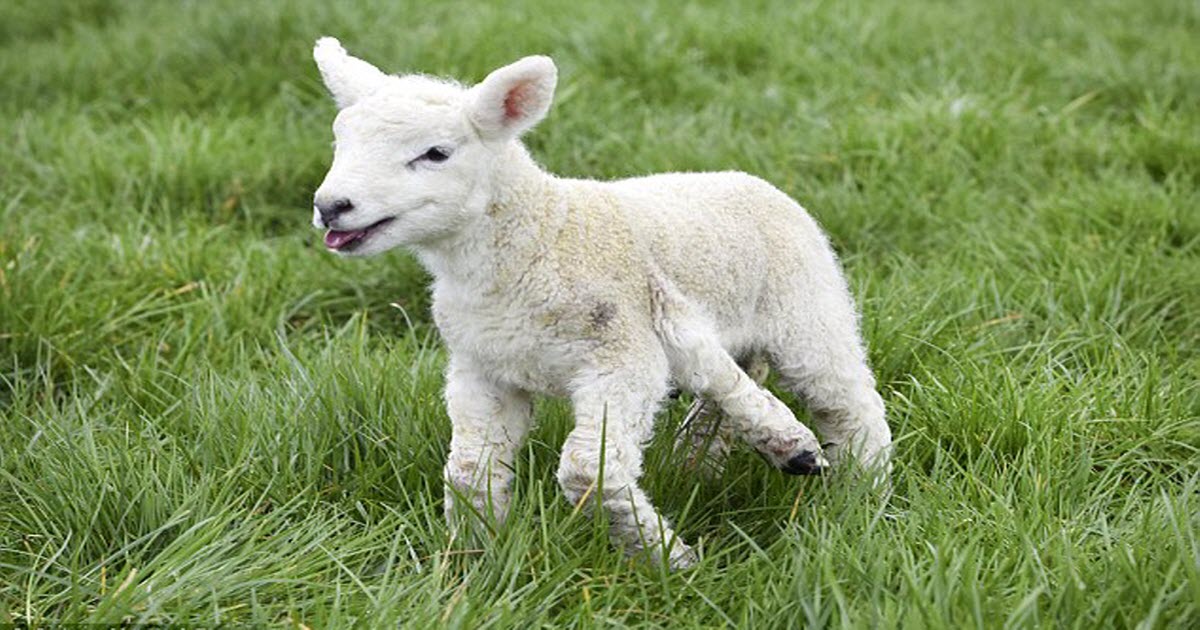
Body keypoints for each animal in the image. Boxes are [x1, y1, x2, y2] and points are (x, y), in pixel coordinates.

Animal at [309, 39, 892, 568]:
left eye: (436, 153)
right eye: (339, 141)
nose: (331, 206)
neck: (540, 234)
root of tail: (750, 179)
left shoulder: (623, 357)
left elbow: (588, 471)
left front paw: (667, 560)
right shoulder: (484, 369)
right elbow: (471, 472)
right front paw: (477, 557)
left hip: (807, 312)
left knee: (849, 405)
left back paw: (862, 497)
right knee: (724, 394)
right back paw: (725, 460)